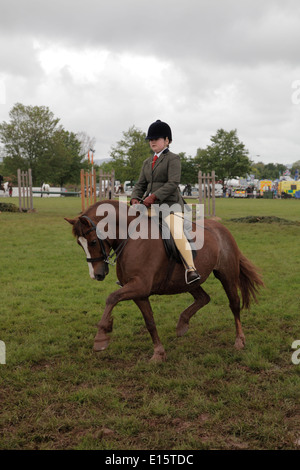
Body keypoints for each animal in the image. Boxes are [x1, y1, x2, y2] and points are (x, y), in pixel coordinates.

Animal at [65, 200, 262, 362]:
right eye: (79, 244)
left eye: (92, 242)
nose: (96, 275)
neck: (130, 239)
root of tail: (221, 228)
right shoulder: (139, 292)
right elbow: (150, 322)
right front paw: (159, 353)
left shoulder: (140, 286)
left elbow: (111, 298)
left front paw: (101, 337)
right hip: (186, 282)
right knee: (203, 298)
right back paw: (183, 323)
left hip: (227, 274)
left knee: (234, 303)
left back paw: (239, 340)